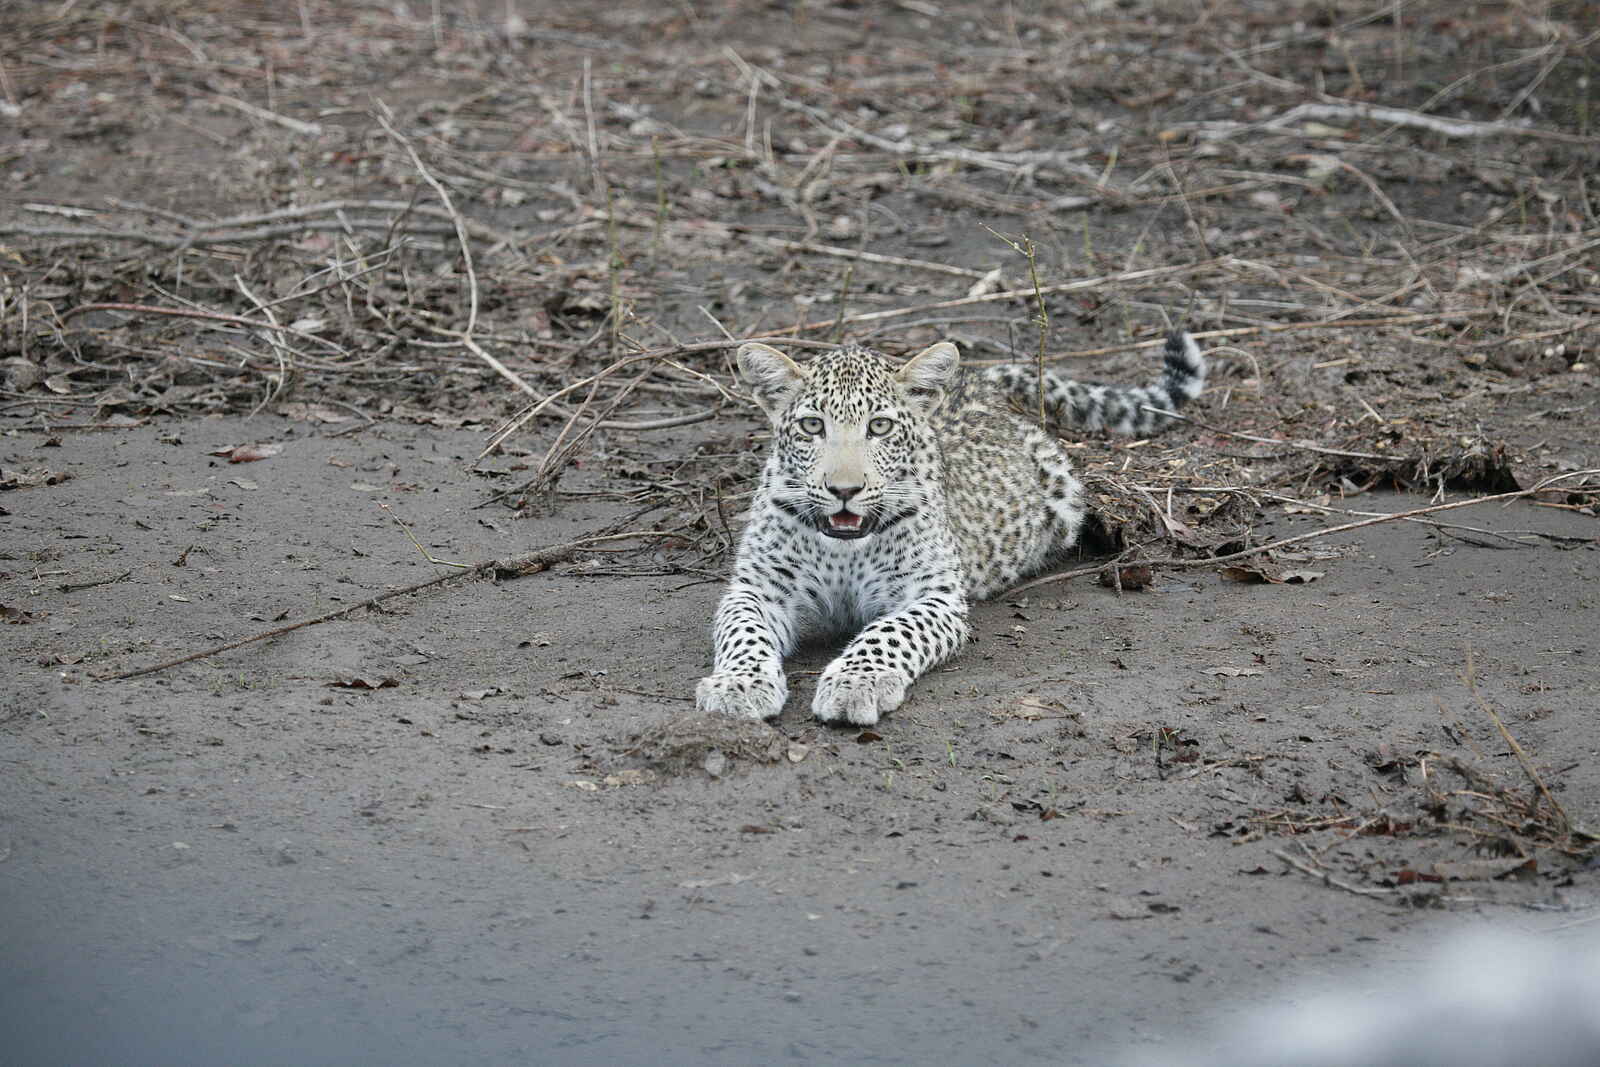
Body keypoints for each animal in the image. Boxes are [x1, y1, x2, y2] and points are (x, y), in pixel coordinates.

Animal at [695, 330, 1206, 726]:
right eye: (811, 426)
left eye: (880, 427)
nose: (844, 489)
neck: (844, 548)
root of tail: (975, 380)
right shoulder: (757, 588)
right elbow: (743, 633)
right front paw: (738, 685)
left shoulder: (933, 596)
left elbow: (890, 632)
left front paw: (856, 682)